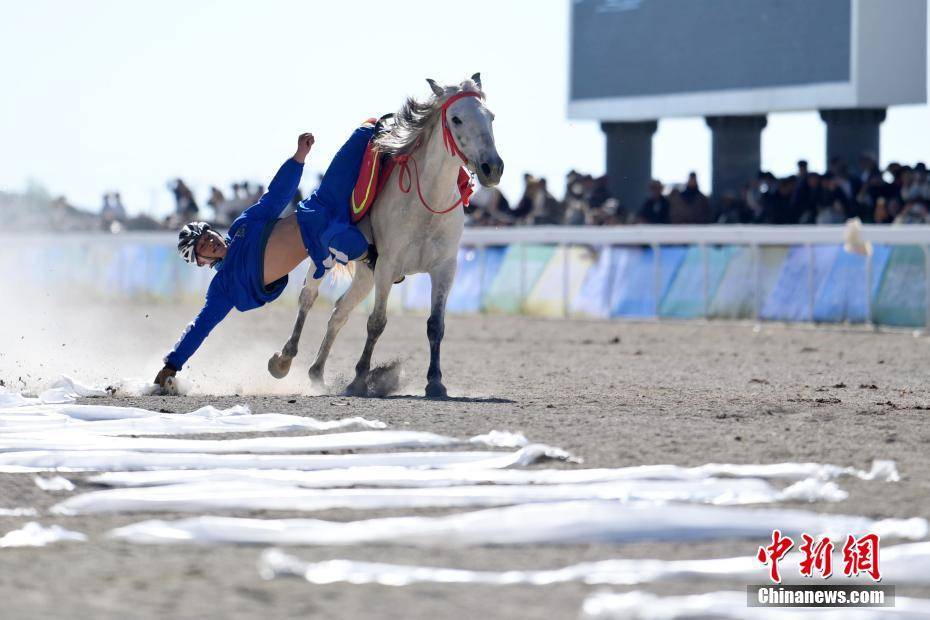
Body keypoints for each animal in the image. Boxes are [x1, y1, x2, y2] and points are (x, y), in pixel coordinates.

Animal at [268, 76, 500, 398]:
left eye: (491, 117)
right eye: (456, 119)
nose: (493, 168)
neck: (427, 203)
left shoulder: (445, 269)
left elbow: (435, 325)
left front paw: (435, 381)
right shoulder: (388, 267)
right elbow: (376, 323)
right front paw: (358, 379)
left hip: (367, 274)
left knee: (339, 311)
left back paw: (317, 373)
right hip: (325, 254)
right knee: (308, 298)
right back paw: (284, 359)